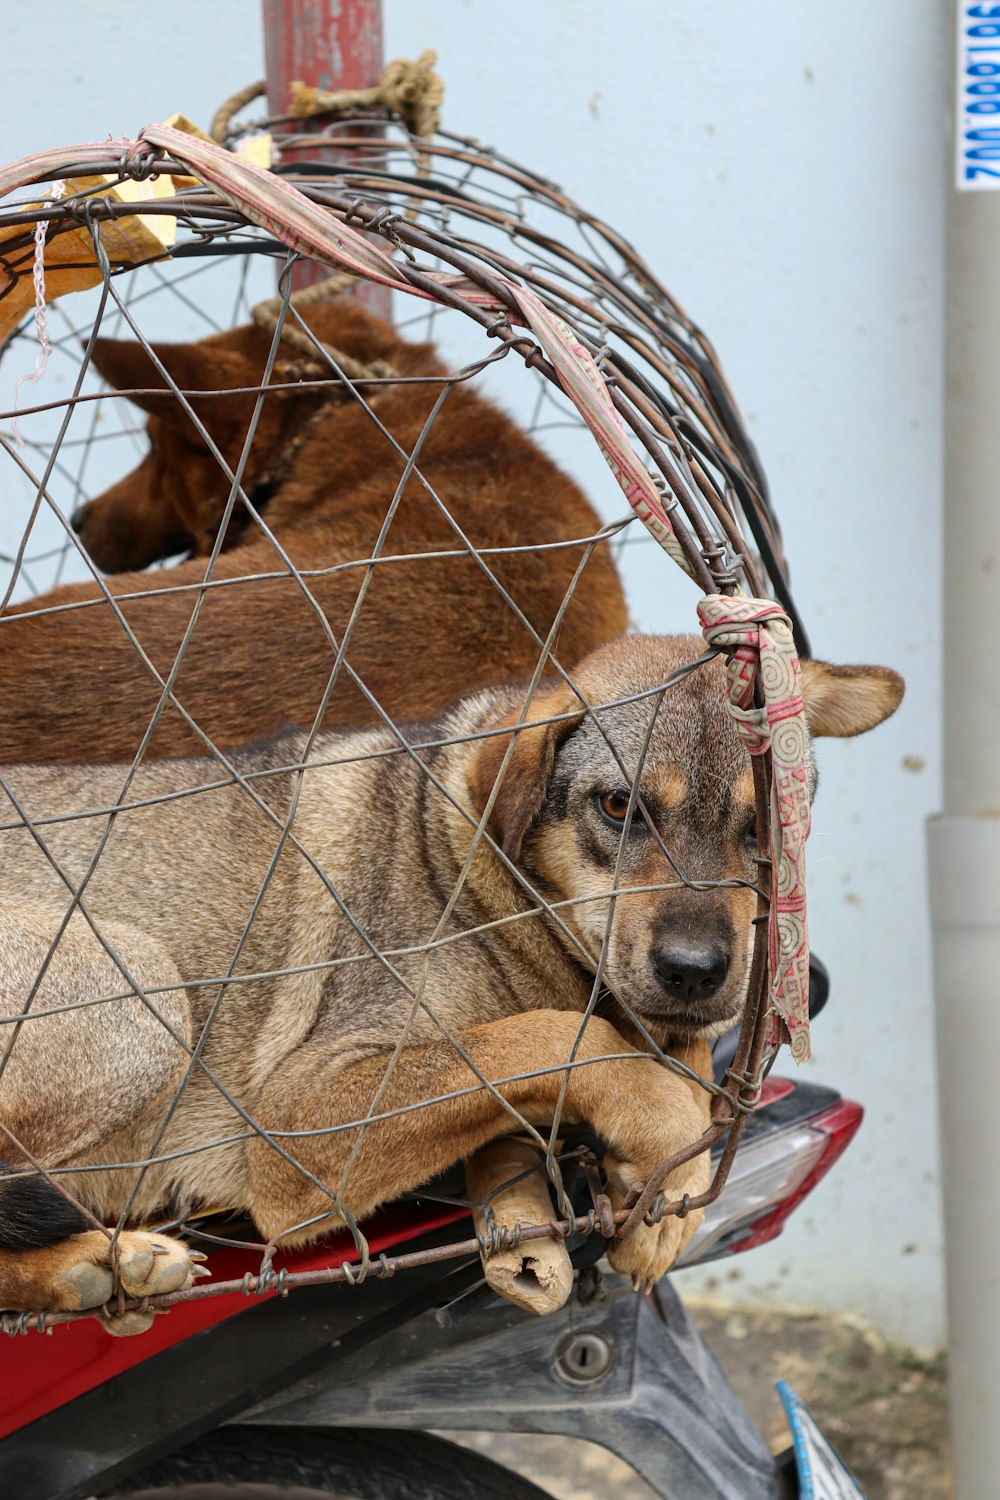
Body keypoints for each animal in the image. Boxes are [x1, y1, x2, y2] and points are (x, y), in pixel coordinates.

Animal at [0, 633, 905, 1326]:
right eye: (618, 807)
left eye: (768, 830)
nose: (695, 972)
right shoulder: (296, 1125)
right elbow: (559, 1037)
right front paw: (668, 1137)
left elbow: (647, 1048)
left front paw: (666, 1183)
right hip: (140, 990)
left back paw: (98, 1268)